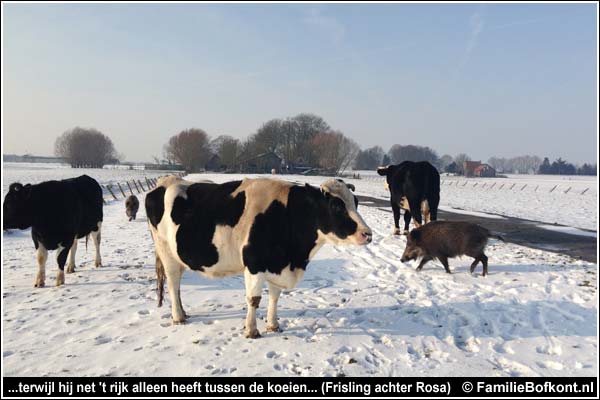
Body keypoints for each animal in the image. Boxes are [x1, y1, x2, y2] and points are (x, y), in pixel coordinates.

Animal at [145, 177, 370, 338]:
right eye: (337, 206)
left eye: (356, 203)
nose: (368, 234)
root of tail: (166, 180)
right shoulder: (254, 264)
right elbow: (254, 299)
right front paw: (252, 331)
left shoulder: (277, 265)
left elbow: (275, 297)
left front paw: (273, 325)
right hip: (166, 252)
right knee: (173, 283)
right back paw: (178, 317)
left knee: (177, 285)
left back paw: (183, 313)